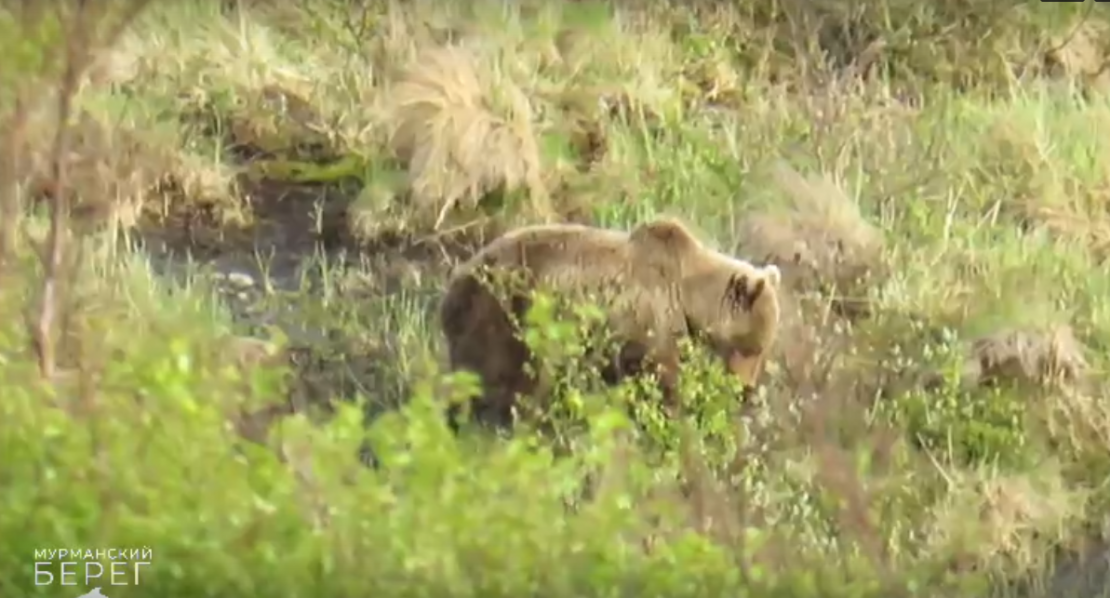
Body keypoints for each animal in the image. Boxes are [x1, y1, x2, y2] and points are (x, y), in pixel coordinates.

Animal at [438, 217, 783, 432]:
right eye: (750, 347)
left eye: (763, 349)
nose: (746, 390)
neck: (688, 295)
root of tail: (455, 279)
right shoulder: (650, 317)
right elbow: (661, 378)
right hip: (506, 311)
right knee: (504, 376)